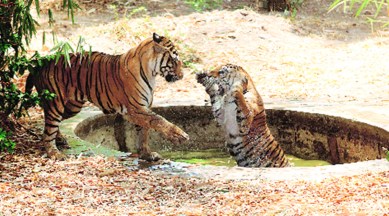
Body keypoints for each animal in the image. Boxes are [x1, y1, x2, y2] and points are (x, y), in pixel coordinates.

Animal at [25, 32, 189, 160]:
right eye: (175, 60)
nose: (182, 76)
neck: (151, 72)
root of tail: (41, 62)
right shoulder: (135, 109)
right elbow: (158, 120)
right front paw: (180, 136)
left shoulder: (143, 108)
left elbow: (144, 132)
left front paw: (147, 154)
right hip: (55, 103)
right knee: (48, 131)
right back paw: (55, 153)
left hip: (72, 106)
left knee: (51, 123)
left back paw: (60, 139)